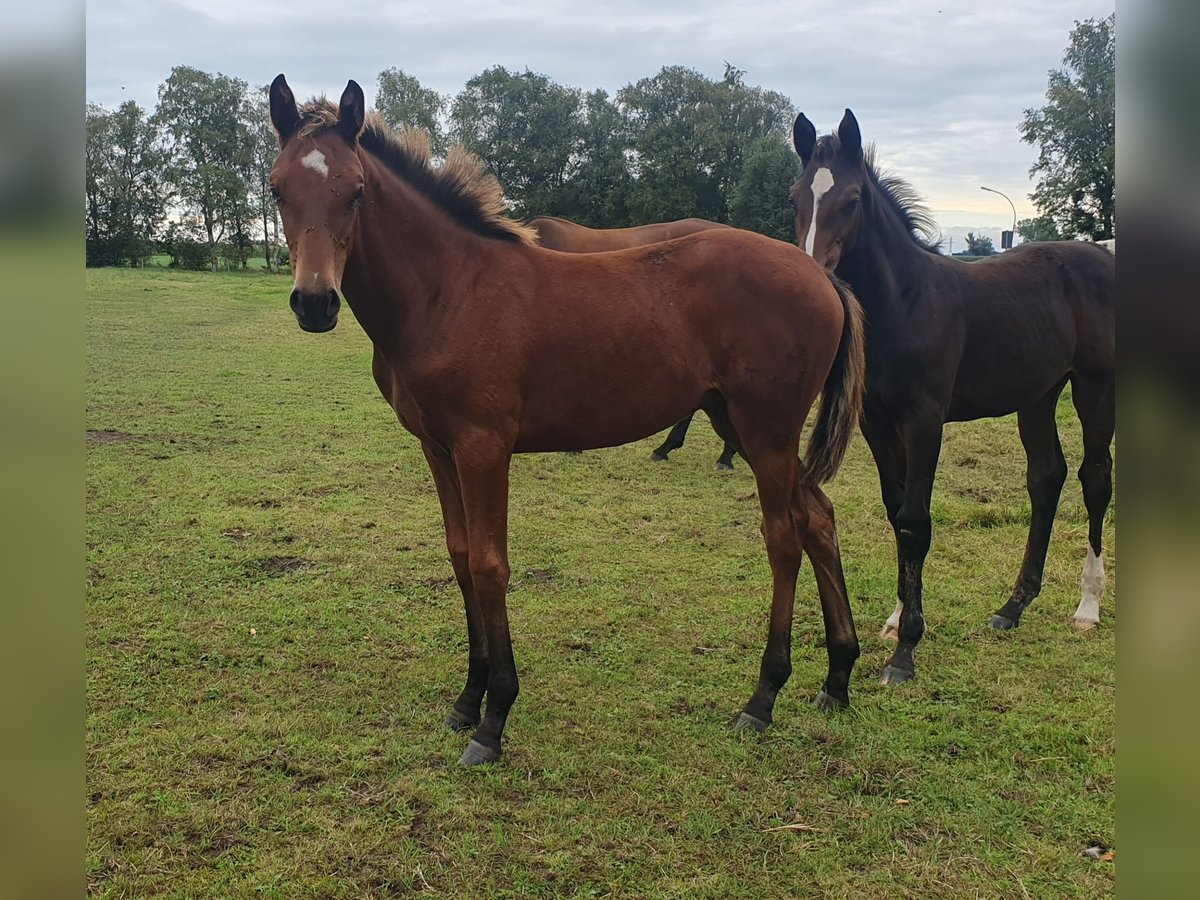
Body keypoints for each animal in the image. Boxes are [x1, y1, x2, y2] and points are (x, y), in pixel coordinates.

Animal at [265, 79, 864, 768]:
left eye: (357, 190)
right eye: (277, 189)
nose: (315, 303)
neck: (449, 292)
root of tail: (821, 273)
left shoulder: (483, 447)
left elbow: (491, 564)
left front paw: (493, 719)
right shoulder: (438, 449)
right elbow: (460, 556)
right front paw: (466, 699)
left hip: (767, 432)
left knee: (784, 538)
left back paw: (762, 698)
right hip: (739, 423)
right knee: (818, 518)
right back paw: (838, 677)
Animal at [787, 109, 1113, 686]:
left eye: (851, 199)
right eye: (795, 197)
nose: (815, 279)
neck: (905, 303)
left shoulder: (924, 422)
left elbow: (916, 522)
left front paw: (905, 653)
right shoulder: (878, 424)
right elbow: (896, 513)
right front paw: (896, 620)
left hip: (1096, 386)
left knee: (1095, 480)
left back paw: (1087, 607)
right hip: (1038, 393)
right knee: (1046, 478)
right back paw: (1013, 606)